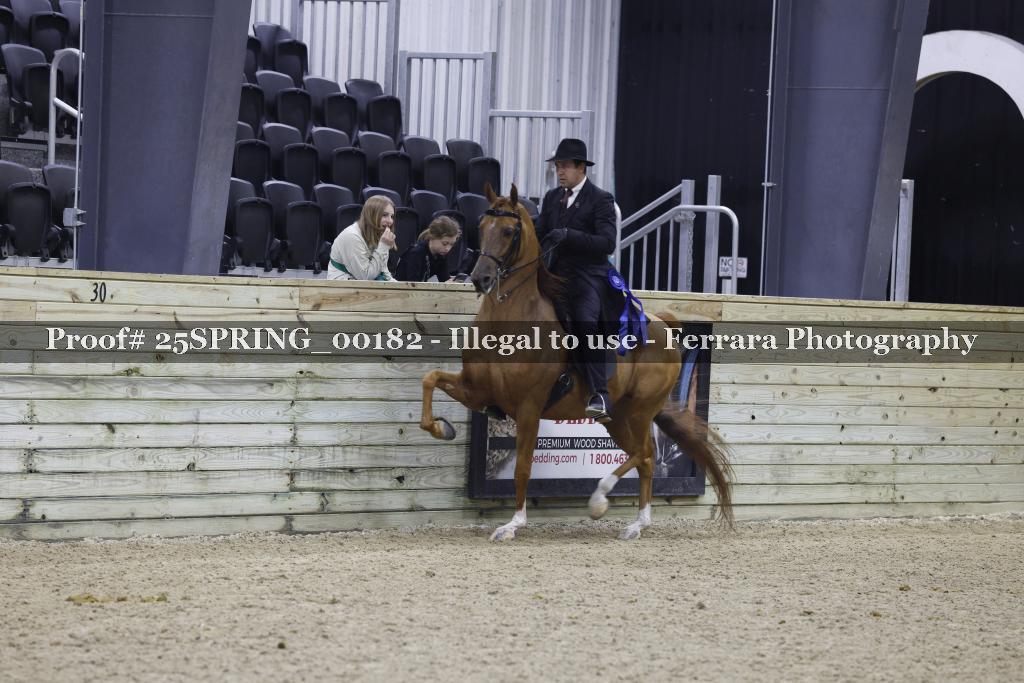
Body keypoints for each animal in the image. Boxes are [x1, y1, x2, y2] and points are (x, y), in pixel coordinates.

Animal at [420, 184, 733, 541]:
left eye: (510, 231)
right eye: (482, 227)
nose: (480, 278)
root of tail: (663, 325)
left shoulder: (528, 407)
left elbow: (523, 468)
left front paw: (513, 525)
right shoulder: (478, 392)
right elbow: (430, 379)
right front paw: (440, 427)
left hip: (639, 411)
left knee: (645, 454)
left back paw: (605, 504)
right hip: (617, 417)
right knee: (642, 458)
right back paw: (635, 522)